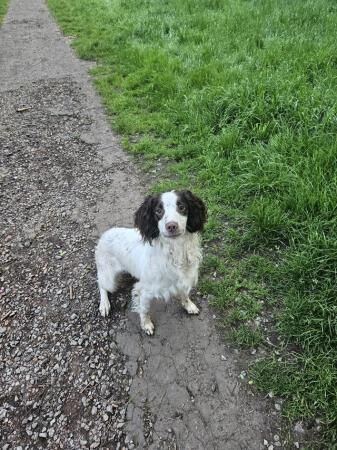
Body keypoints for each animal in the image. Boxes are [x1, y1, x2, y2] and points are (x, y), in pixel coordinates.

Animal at [93, 189, 206, 334]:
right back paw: (104, 304)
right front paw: (146, 325)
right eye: (158, 211)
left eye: (182, 207)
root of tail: (105, 235)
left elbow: (185, 294)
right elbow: (145, 310)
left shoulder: (185, 279)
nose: (172, 226)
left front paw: (189, 306)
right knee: (101, 284)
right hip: (109, 278)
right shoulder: (144, 290)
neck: (175, 251)